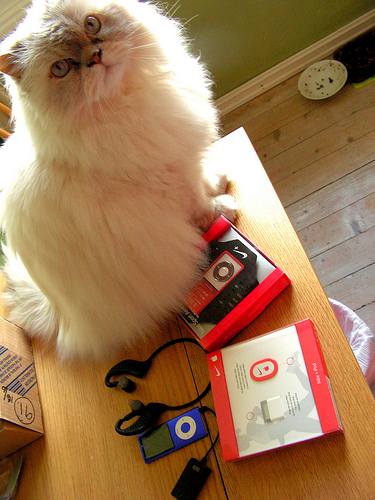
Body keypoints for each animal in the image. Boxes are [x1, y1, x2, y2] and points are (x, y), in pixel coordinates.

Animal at [0, 0, 234, 360]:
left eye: (91, 25)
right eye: (61, 68)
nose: (95, 56)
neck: (128, 99)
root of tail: (59, 315)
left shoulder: (183, 156)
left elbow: (202, 178)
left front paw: (219, 182)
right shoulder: (169, 178)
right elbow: (200, 204)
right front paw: (222, 213)